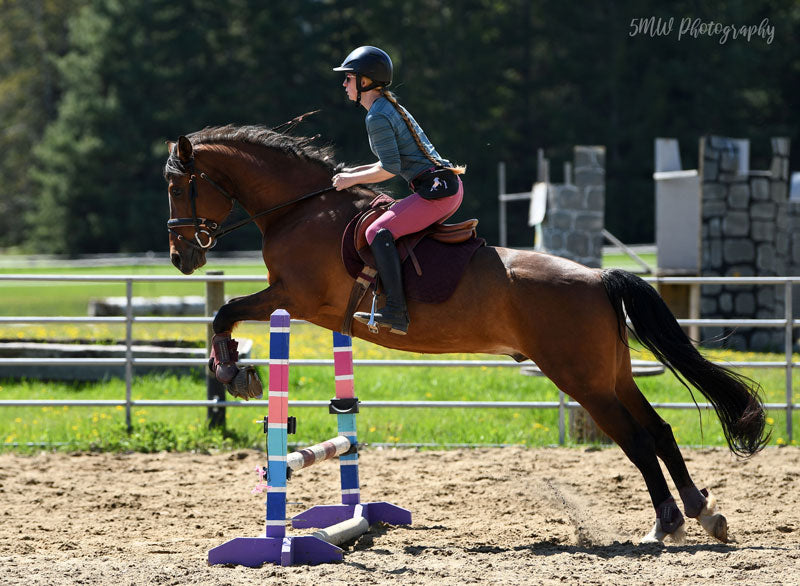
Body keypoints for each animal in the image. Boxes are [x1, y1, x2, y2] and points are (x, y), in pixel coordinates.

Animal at [164, 125, 768, 545]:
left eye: (176, 185)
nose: (180, 257)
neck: (300, 209)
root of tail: (599, 277)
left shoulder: (295, 298)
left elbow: (225, 314)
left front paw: (235, 371)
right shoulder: (304, 305)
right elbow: (227, 316)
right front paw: (235, 367)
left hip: (583, 380)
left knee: (639, 441)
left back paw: (666, 524)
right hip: (611, 373)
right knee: (660, 431)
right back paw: (703, 513)